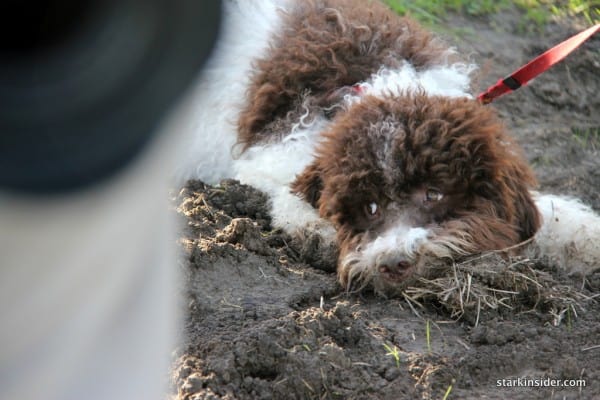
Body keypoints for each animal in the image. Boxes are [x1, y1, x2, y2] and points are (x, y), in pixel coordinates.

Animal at [177, 0, 600, 294]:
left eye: (434, 193)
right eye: (370, 207)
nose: (395, 262)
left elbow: (550, 214)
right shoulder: (275, 155)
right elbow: (285, 195)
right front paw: (318, 228)